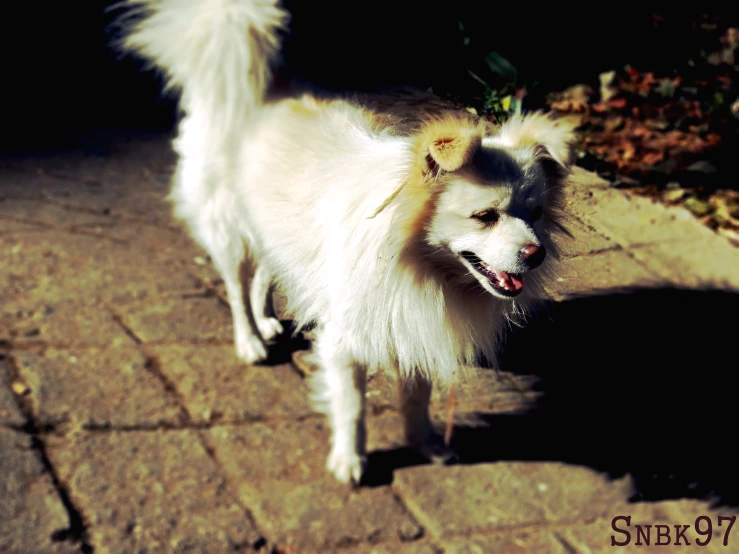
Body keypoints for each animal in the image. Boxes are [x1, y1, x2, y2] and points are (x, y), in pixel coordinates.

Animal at [123, 0, 580, 484]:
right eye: (485, 217)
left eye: (536, 214)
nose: (536, 254)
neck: (417, 263)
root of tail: (257, 86)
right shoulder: (348, 336)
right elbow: (353, 405)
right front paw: (350, 460)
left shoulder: (413, 319)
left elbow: (416, 394)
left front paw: (425, 444)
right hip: (229, 224)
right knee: (235, 283)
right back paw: (250, 338)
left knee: (267, 270)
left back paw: (267, 320)